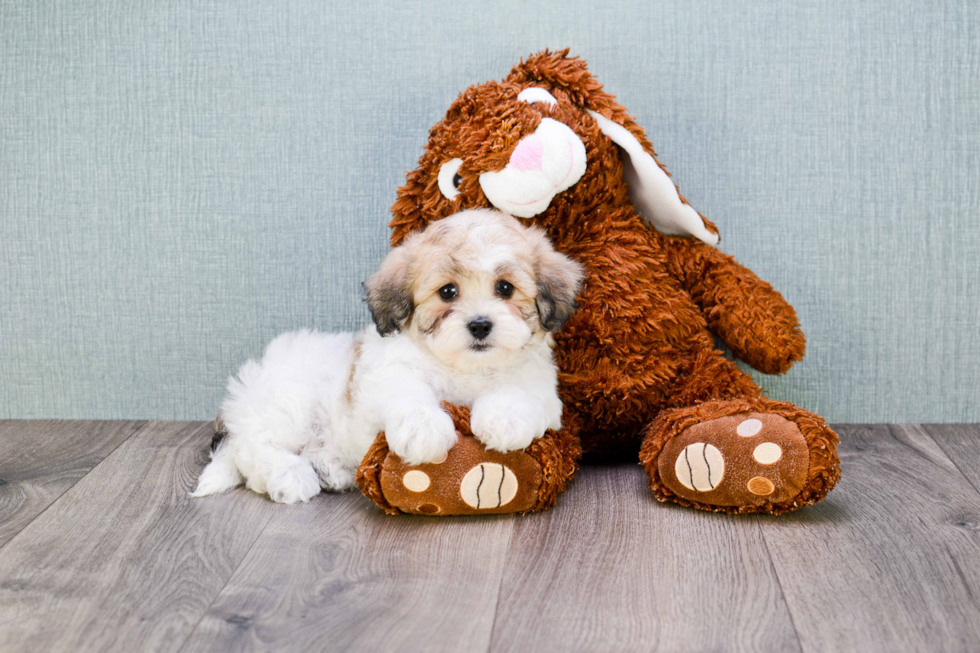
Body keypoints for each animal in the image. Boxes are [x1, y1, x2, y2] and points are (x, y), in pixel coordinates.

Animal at [195, 209, 584, 504]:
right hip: (288, 403)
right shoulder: (385, 372)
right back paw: (290, 476)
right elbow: (407, 391)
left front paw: (504, 421)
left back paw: (330, 470)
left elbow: (517, 392)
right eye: (447, 292)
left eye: (505, 288)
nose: (479, 324)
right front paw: (424, 430)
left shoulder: (542, 389)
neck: (465, 369)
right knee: (255, 449)